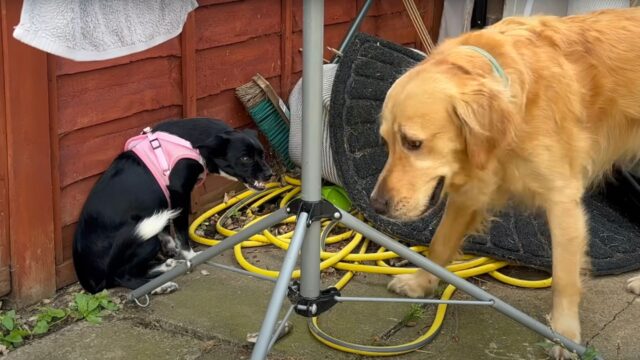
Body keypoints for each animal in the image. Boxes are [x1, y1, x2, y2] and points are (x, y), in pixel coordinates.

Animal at [73, 117, 272, 292]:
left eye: (262, 154)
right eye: (245, 158)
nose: (270, 174)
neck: (194, 143)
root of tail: (90, 281)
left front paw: (170, 245)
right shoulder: (180, 195)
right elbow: (182, 232)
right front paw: (191, 256)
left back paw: (167, 266)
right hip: (144, 239)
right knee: (122, 276)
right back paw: (160, 286)